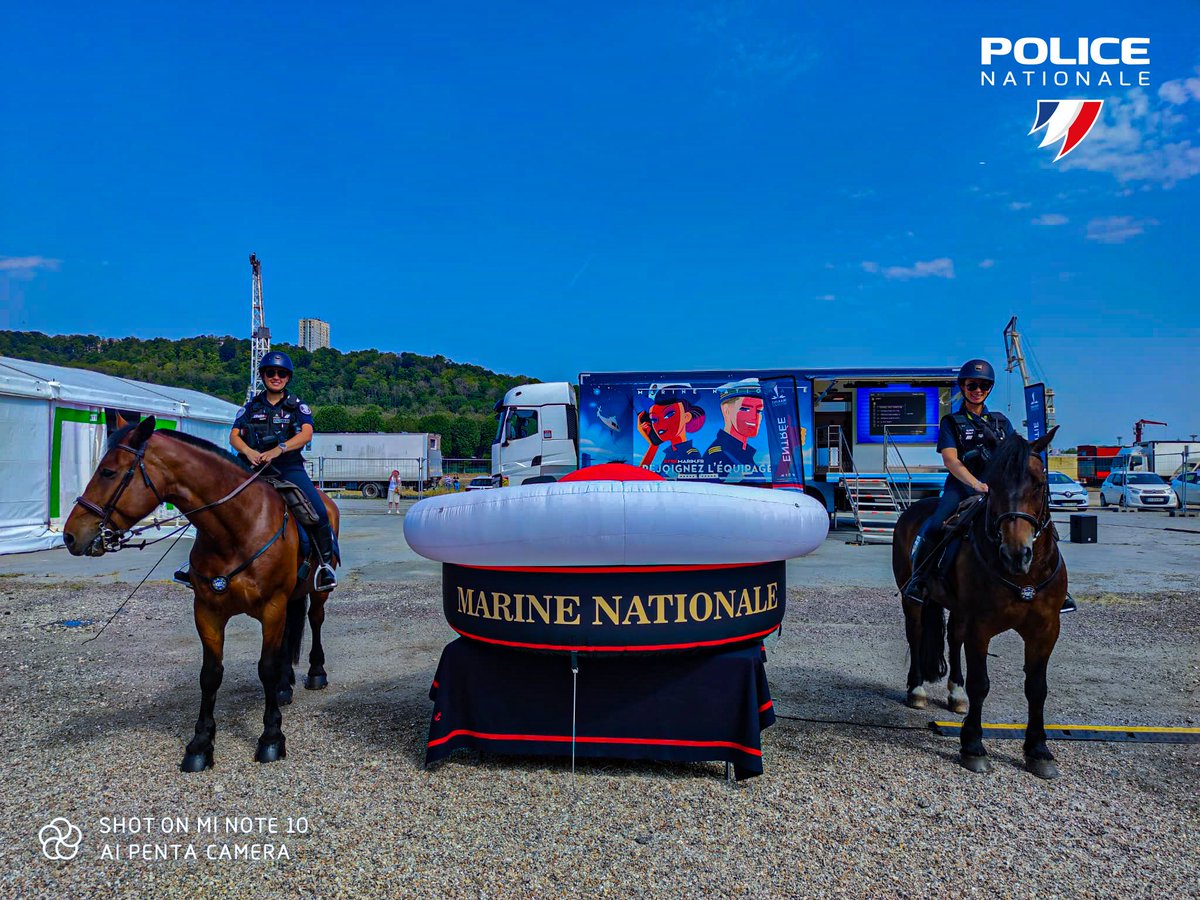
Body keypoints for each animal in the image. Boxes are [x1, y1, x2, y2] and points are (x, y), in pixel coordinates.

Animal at [63, 420, 340, 772]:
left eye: (109, 472)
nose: (70, 535)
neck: (236, 529)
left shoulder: (272, 608)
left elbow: (265, 667)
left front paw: (271, 738)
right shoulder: (207, 610)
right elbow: (210, 675)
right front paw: (200, 744)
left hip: (316, 593)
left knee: (315, 621)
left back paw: (316, 673)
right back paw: (283, 687)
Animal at [892, 427, 1070, 777]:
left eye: (1039, 482)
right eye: (993, 483)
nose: (1016, 553)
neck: (1024, 577)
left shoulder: (1046, 629)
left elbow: (1037, 688)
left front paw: (1038, 750)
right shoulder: (981, 626)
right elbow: (981, 683)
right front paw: (973, 745)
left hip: (959, 610)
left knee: (952, 638)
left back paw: (955, 693)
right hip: (914, 599)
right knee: (916, 635)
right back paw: (916, 689)